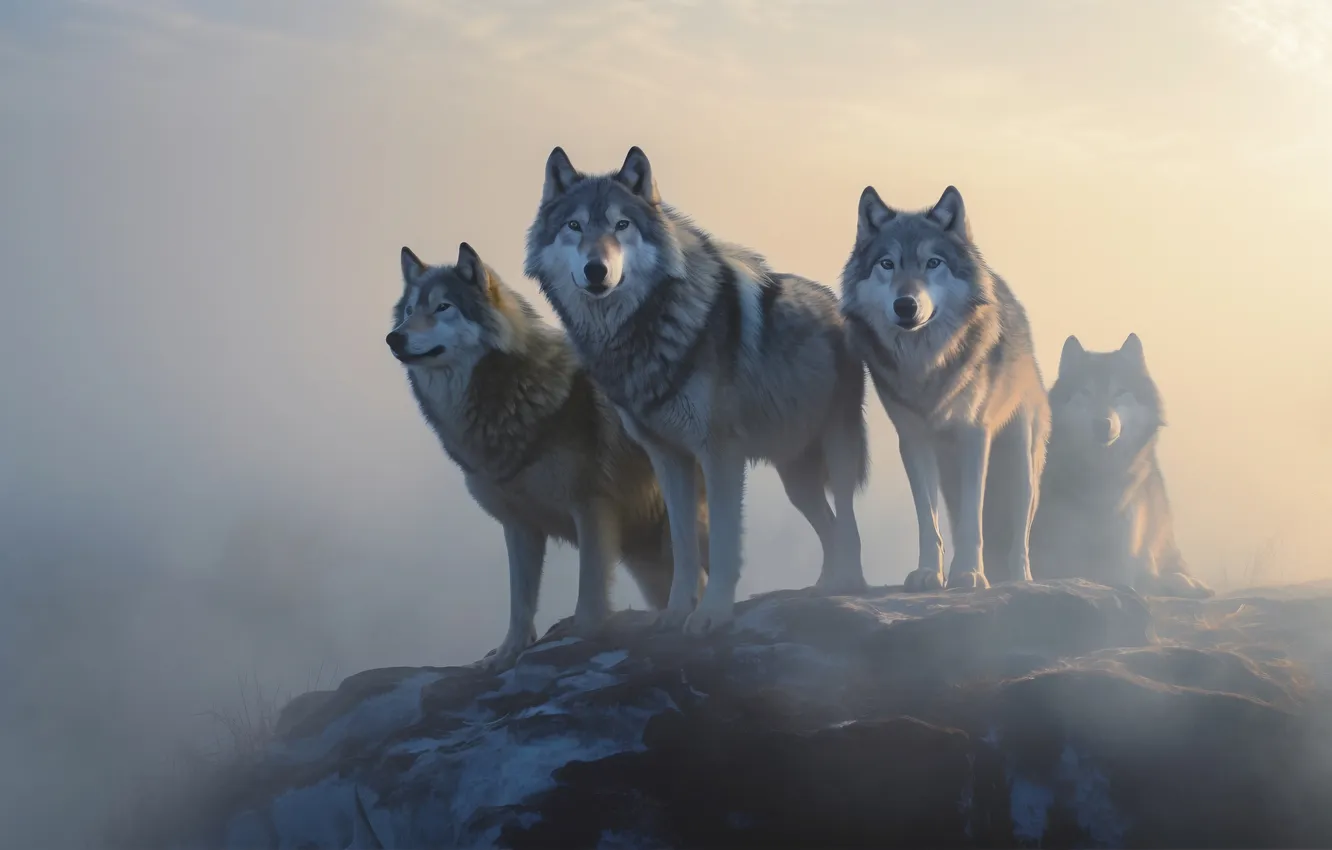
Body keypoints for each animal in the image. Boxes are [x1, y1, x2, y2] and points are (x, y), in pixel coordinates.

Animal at [387, 241, 709, 669]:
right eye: (410, 311)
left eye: (443, 307)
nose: (393, 338)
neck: (508, 395)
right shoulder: (519, 525)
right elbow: (519, 601)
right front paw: (507, 653)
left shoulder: (591, 507)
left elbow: (589, 587)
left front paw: (582, 633)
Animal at [525, 146, 870, 635]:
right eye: (574, 226)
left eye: (621, 225)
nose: (596, 270)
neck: (643, 330)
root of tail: (835, 302)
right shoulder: (668, 458)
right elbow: (685, 546)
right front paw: (675, 613)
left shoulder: (719, 453)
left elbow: (723, 544)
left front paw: (712, 613)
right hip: (795, 479)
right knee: (830, 524)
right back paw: (824, 584)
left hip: (837, 449)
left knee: (848, 519)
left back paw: (849, 584)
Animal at [842, 185, 1050, 592]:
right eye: (887, 264)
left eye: (933, 263)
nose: (905, 306)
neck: (927, 365)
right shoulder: (913, 441)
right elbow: (928, 521)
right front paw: (928, 573)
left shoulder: (975, 436)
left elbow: (973, 520)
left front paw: (969, 573)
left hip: (1020, 462)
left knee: (1021, 531)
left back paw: (1021, 577)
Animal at [1029, 334, 1213, 598]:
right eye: (1085, 391)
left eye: (1120, 392)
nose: (1102, 424)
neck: (1100, 480)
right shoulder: (1056, 558)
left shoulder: (1120, 565)